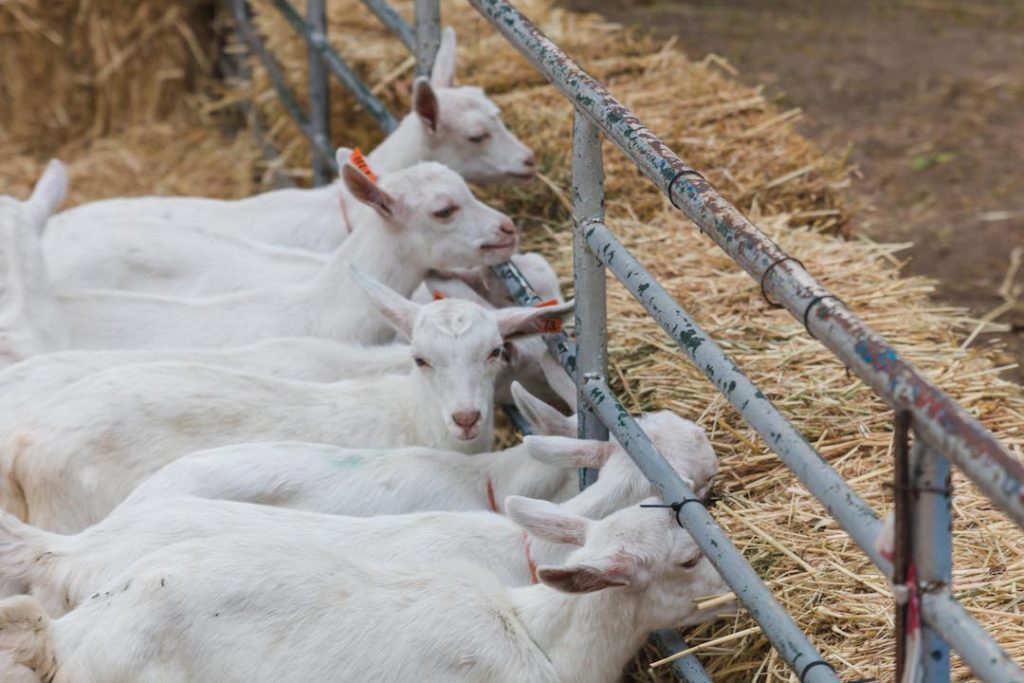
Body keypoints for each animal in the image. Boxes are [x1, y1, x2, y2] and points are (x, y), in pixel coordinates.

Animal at [0, 278, 569, 532]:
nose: (467, 417)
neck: (408, 415)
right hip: (70, 512)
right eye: (421, 358)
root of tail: (28, 444)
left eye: (494, 351)